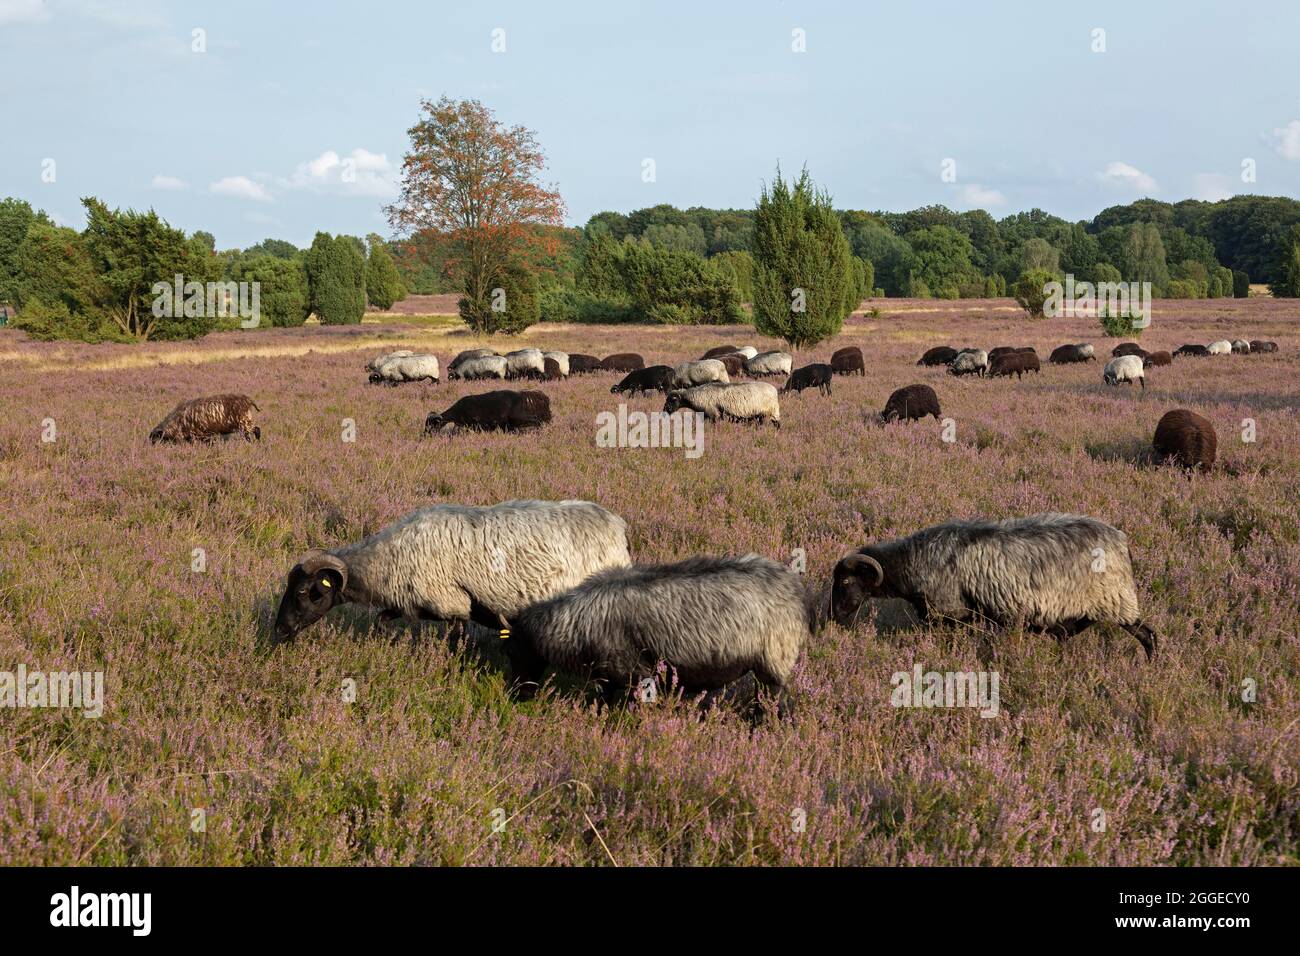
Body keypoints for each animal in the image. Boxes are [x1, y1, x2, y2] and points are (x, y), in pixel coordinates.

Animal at [270, 502, 629, 642]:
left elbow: (456, 640)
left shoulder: (452, 604)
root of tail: (616, 526)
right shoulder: (413, 603)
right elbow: (382, 619)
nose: (279, 631)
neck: (385, 559)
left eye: (302, 592)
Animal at [423, 390, 551, 434]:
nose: (425, 434)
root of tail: (522, 395)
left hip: (519, 418)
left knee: (537, 420)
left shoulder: (476, 425)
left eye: (432, 425)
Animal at [499, 554, 811, 712]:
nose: (517, 695)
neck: (576, 623)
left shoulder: (634, 675)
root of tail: (795, 588)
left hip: (773, 660)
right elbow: (601, 703)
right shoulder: (609, 678)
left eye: (513, 651)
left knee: (779, 704)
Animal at [826, 512, 1154, 660]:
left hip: (1118, 600)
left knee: (1147, 635)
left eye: (845, 581)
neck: (912, 561)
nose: (833, 616)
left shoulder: (951, 613)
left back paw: (1150, 666)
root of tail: (1122, 541)